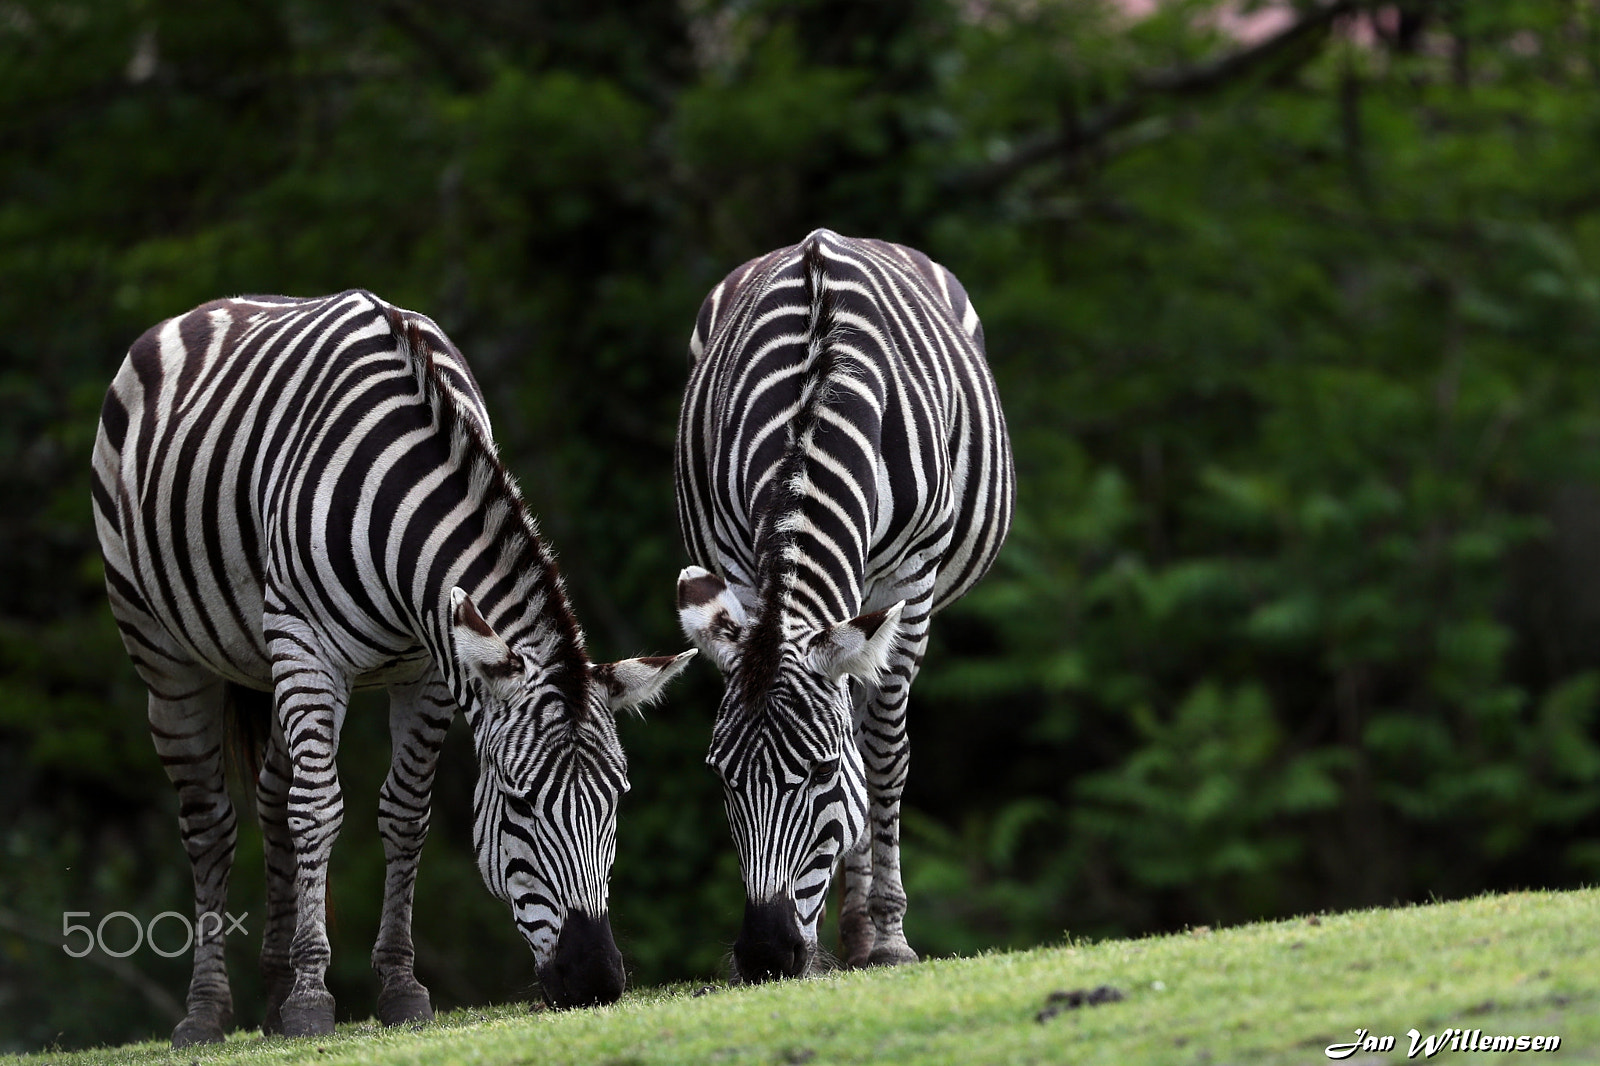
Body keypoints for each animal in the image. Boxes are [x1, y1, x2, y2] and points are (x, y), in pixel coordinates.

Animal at [92, 288, 694, 1037]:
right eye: (519, 803)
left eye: (616, 801)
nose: (597, 981)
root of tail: (205, 309)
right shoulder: (307, 644)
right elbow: (319, 809)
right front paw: (314, 1000)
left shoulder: (431, 669)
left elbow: (405, 815)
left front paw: (399, 989)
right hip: (165, 654)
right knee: (209, 823)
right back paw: (207, 1013)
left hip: (266, 659)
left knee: (271, 803)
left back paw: (274, 994)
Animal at [675, 228, 1011, 973]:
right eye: (721, 777)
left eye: (823, 772)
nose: (765, 954)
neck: (817, 400)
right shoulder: (743, 565)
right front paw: (830, 935)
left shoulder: (909, 578)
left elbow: (881, 750)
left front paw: (888, 936)